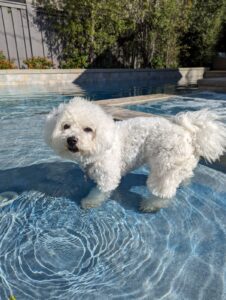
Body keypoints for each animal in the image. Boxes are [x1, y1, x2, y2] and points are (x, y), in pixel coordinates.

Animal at [44, 97, 226, 212]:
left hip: (166, 164)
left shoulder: (108, 175)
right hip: (180, 163)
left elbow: (100, 191)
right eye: (66, 126)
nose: (71, 140)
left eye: (88, 129)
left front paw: (89, 202)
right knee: (184, 175)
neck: (101, 145)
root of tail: (188, 132)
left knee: (163, 189)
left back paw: (152, 204)